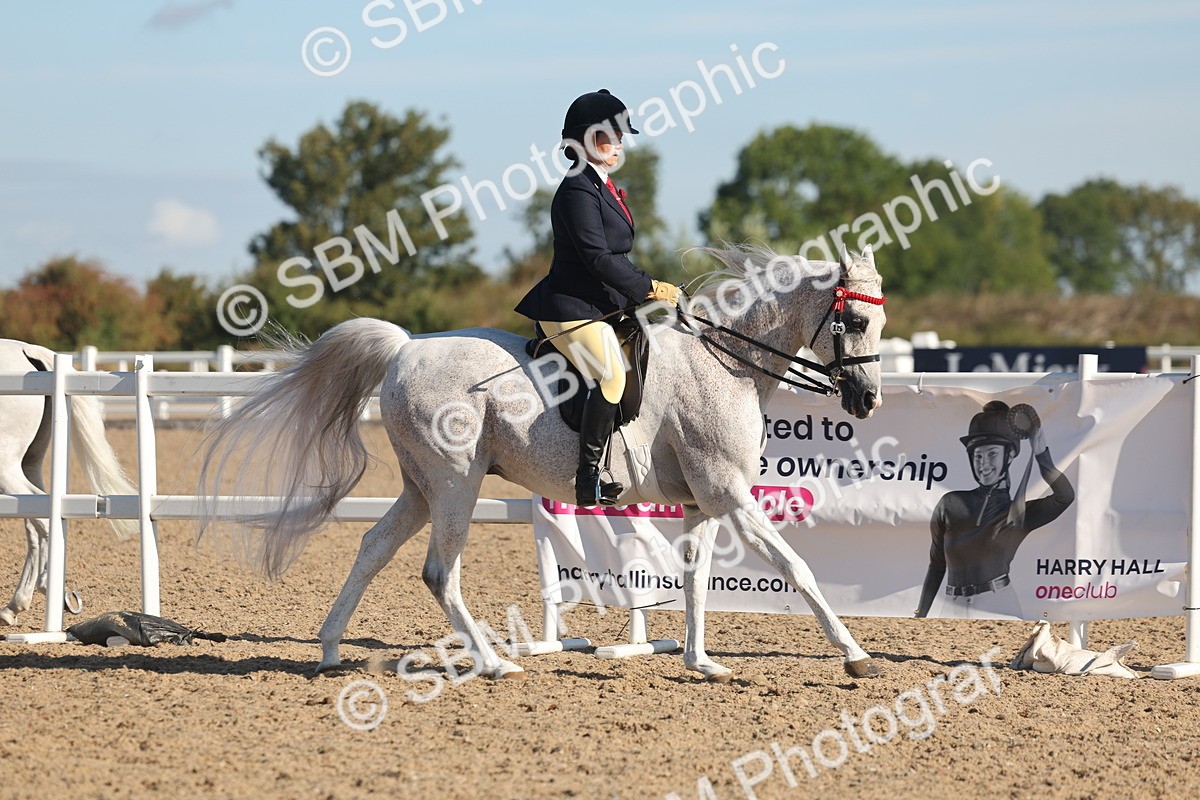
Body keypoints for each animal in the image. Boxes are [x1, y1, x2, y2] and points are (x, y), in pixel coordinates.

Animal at [0, 339, 137, 626]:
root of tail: (26, 350)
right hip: (29, 464)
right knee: (35, 522)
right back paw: (14, 606)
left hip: (7, 466)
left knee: (42, 521)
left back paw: (45, 588)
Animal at [197, 244, 888, 681]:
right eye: (853, 320)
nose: (867, 401)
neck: (727, 364)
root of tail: (404, 349)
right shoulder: (733, 499)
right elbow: (798, 568)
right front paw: (855, 656)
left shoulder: (704, 503)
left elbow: (695, 582)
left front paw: (701, 663)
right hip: (456, 483)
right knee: (439, 572)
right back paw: (493, 663)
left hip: (422, 487)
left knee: (372, 548)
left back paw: (330, 650)